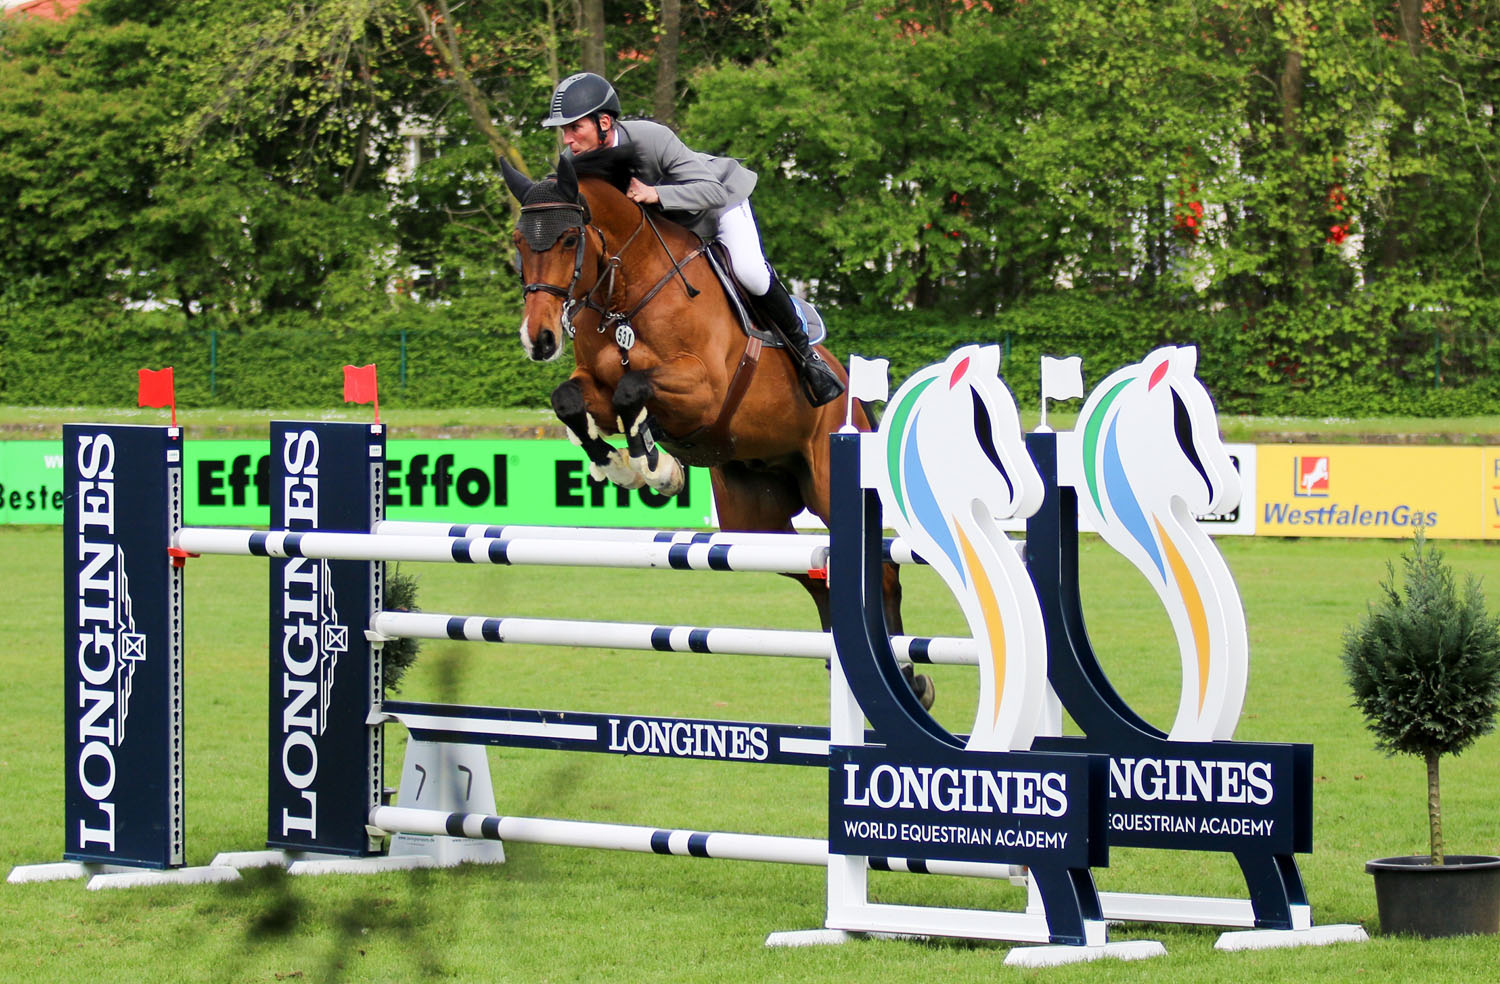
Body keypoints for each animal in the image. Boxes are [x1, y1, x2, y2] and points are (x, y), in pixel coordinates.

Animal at [504, 147, 918, 699]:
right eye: (517, 243)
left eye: (570, 238)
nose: (540, 338)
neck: (627, 291)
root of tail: (852, 394)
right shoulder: (595, 386)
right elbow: (571, 399)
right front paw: (624, 466)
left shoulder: (703, 390)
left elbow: (633, 389)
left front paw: (655, 468)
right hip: (754, 519)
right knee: (815, 572)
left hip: (830, 485)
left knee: (884, 570)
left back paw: (909, 677)